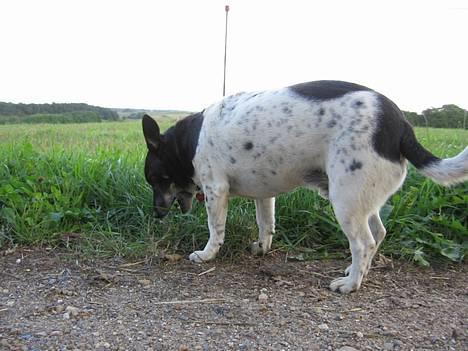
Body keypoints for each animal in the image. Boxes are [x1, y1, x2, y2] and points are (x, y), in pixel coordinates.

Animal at [142, 80, 468, 294]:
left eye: (157, 179)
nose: (156, 214)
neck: (187, 142)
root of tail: (401, 125)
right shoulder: (264, 195)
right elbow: (266, 224)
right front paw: (261, 249)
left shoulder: (216, 191)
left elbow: (216, 230)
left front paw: (207, 255)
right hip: (362, 198)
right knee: (379, 233)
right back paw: (356, 271)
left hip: (345, 199)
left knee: (364, 243)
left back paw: (351, 284)